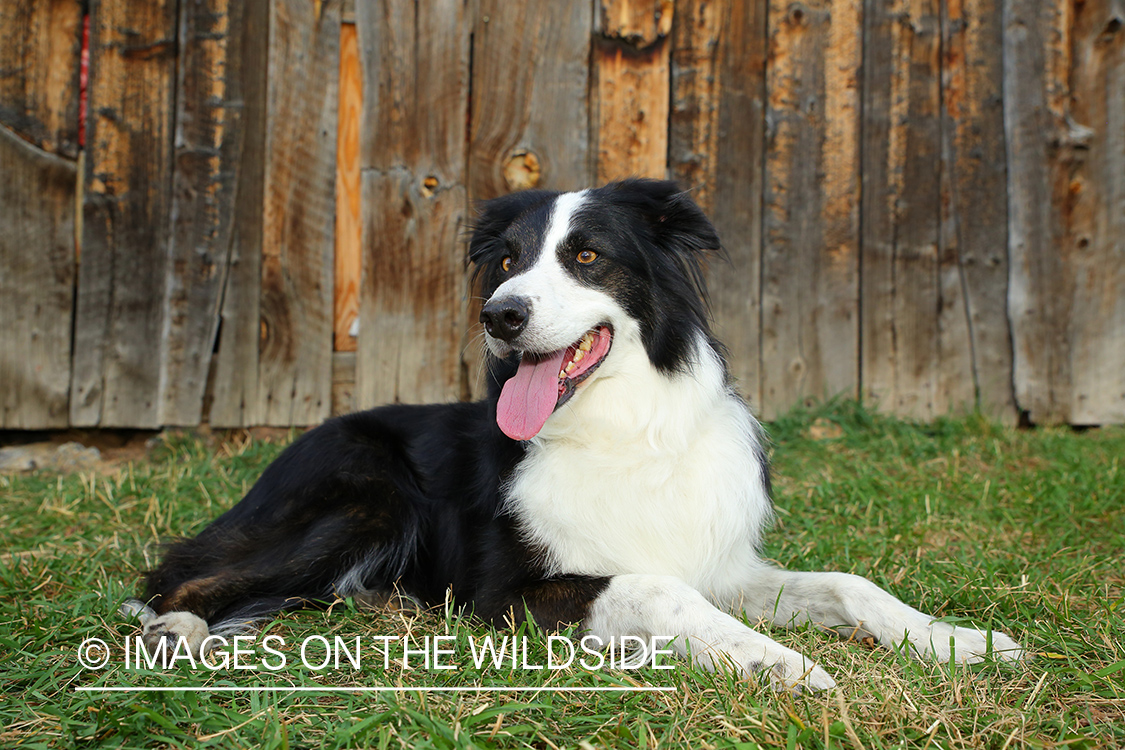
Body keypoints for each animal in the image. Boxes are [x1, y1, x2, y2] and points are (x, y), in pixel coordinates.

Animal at [127, 178, 1026, 688]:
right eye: (503, 262)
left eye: (587, 256)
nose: (500, 315)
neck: (624, 428)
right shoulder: (506, 595)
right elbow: (656, 590)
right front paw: (774, 661)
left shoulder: (722, 566)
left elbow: (848, 583)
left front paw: (957, 642)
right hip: (367, 498)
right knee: (175, 576)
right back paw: (174, 633)